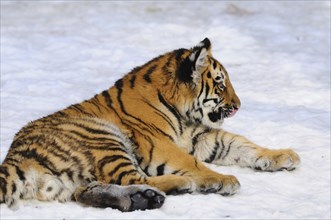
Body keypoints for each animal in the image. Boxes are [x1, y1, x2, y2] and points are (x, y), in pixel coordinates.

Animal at [0, 37, 300, 211]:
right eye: (220, 84)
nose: (238, 105)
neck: (183, 112)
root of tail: (13, 158)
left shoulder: (201, 137)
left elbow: (241, 144)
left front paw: (283, 156)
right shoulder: (159, 143)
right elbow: (191, 162)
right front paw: (221, 179)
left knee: (92, 190)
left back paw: (143, 198)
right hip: (103, 136)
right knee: (132, 177)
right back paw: (180, 185)